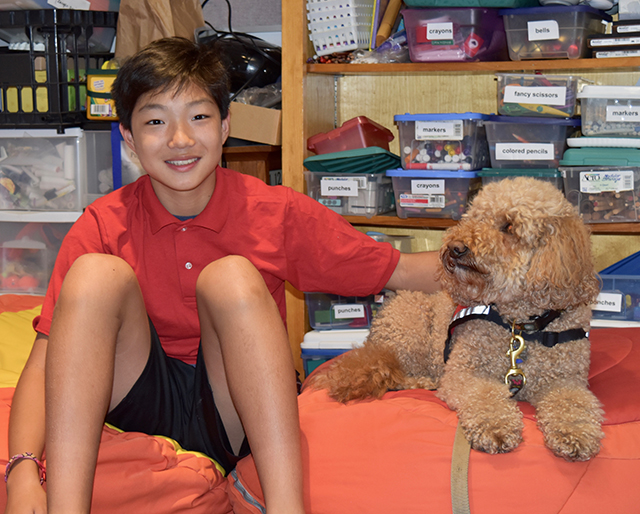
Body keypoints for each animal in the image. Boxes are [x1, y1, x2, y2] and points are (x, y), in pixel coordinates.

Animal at [312, 176, 604, 460]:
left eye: (509, 226)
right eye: (474, 218)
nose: (456, 248)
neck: (520, 326)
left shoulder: (565, 381)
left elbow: (573, 404)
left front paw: (574, 434)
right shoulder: (465, 373)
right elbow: (485, 397)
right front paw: (495, 427)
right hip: (410, 329)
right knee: (392, 371)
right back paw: (422, 381)